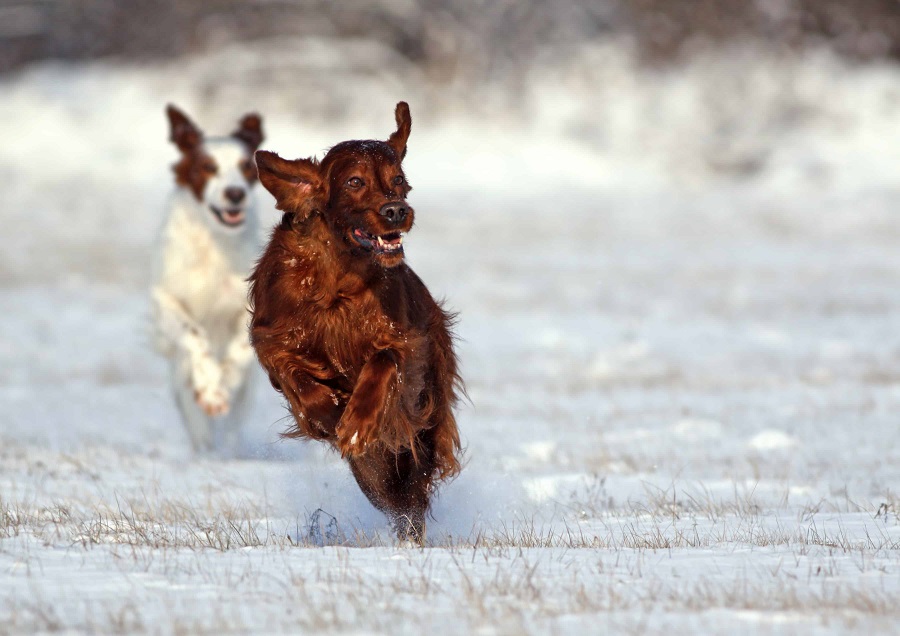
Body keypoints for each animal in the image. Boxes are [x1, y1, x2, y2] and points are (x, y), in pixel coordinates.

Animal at [151, 104, 262, 452]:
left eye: (246, 167)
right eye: (208, 167)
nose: (235, 194)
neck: (216, 243)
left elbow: (241, 347)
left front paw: (223, 384)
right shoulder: (166, 298)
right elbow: (194, 335)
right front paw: (211, 392)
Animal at [250, 103, 464, 540]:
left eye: (398, 180)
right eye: (354, 182)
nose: (396, 210)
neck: (339, 275)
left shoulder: (404, 341)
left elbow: (382, 362)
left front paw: (356, 422)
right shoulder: (271, 339)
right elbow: (299, 380)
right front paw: (330, 415)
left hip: (420, 426)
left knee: (410, 493)